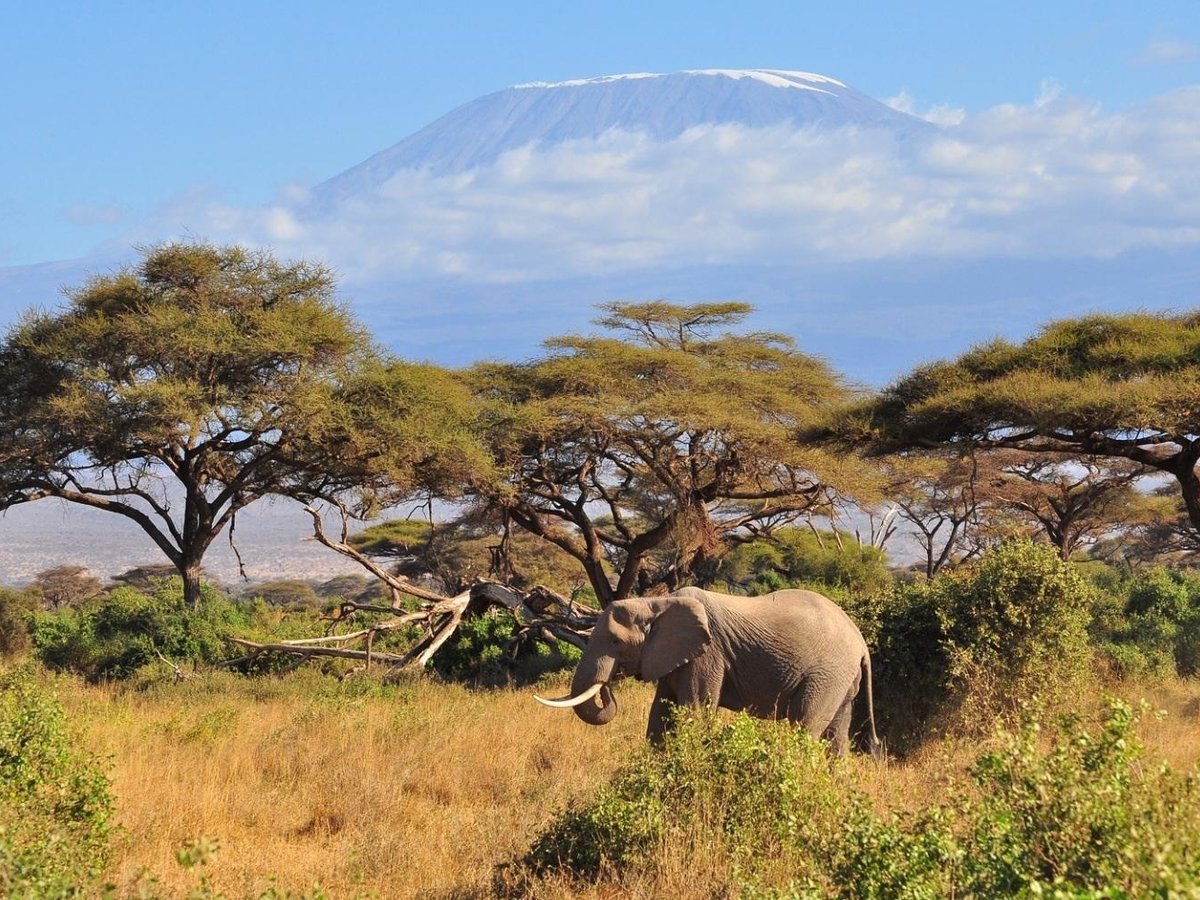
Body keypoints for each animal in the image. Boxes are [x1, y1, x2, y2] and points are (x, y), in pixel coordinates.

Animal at [535, 585, 883, 753]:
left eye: (615, 641)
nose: (610, 684)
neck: (655, 602)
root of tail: (861, 642)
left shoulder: (708, 654)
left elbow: (696, 712)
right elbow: (660, 714)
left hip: (827, 673)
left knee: (805, 725)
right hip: (841, 678)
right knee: (837, 735)